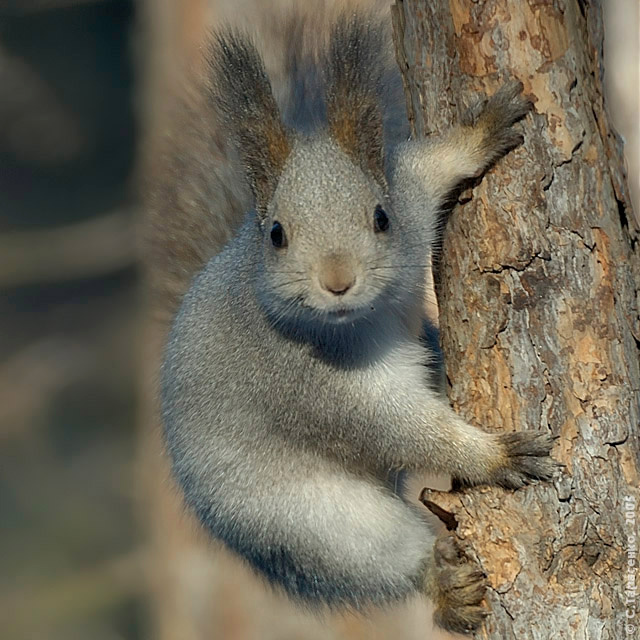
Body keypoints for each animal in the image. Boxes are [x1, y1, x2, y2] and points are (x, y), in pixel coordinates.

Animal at [150, 4, 557, 636]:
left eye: (380, 217)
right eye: (276, 235)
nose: (337, 281)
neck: (362, 320)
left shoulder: (410, 205)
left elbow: (426, 167)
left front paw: (478, 132)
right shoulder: (312, 386)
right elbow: (401, 427)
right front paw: (495, 456)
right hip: (317, 527)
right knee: (388, 559)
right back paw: (444, 587)